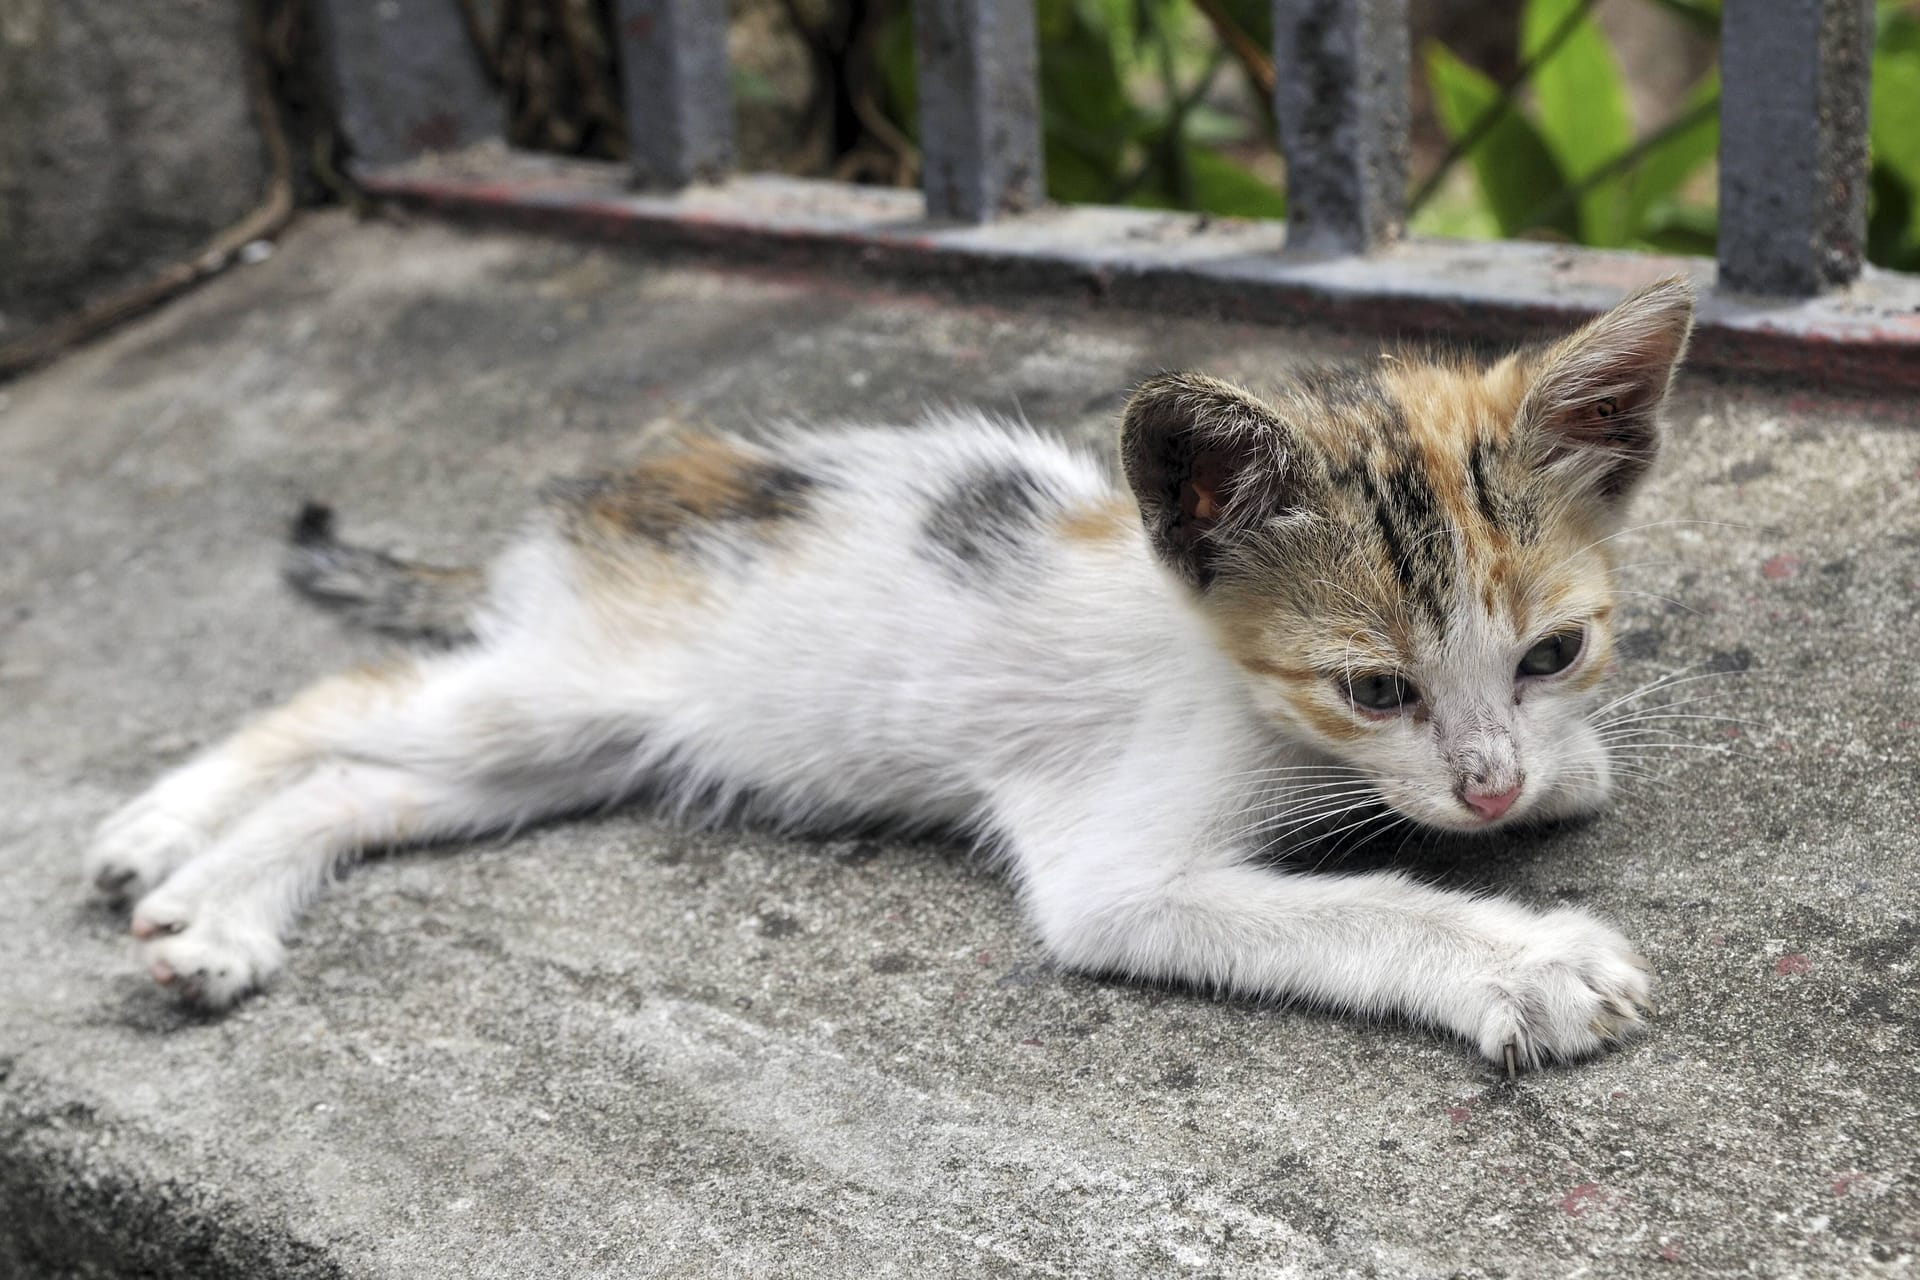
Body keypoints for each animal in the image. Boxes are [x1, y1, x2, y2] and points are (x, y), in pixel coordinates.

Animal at [82, 280, 1689, 1074]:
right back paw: (154, 834)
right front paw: (1527, 964)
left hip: (570, 751)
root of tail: (610, 500)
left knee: (365, 785)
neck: (1229, 678)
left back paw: (211, 913)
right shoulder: (1113, 865)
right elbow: (1340, 910)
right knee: (344, 704)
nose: (1488, 789)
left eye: (1554, 651)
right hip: (560, 686)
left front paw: (1558, 770)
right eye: (1374, 690)